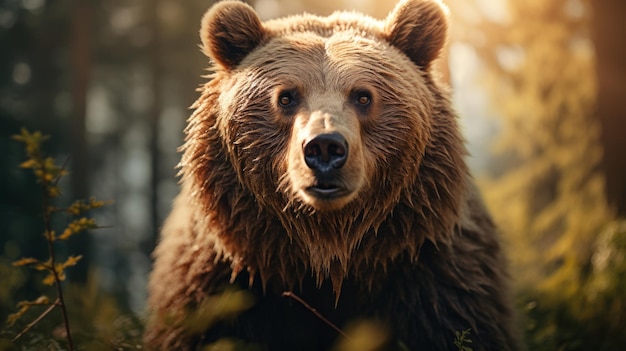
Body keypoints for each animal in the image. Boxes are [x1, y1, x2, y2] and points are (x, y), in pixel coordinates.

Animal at [144, 0, 520, 350]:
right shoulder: (221, 285)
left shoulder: (434, 275)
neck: (329, 250)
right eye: (286, 97)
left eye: (363, 96)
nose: (324, 147)